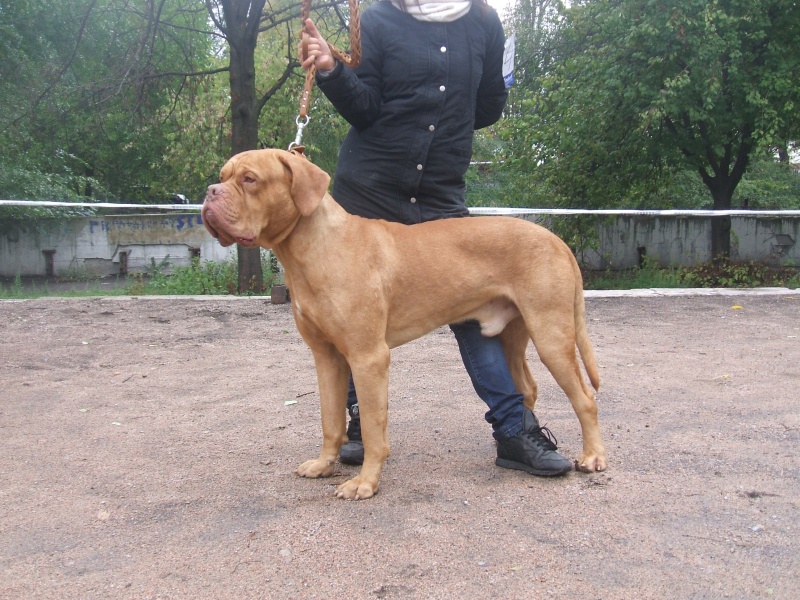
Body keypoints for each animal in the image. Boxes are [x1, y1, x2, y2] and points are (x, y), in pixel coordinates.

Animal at [202, 148, 606, 500]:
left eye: (250, 179)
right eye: (222, 176)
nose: (210, 192)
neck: (312, 248)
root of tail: (556, 239)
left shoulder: (368, 357)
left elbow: (373, 429)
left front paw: (365, 483)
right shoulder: (326, 357)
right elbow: (330, 421)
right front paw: (323, 464)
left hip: (551, 334)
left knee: (585, 398)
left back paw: (593, 456)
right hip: (511, 336)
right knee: (527, 388)